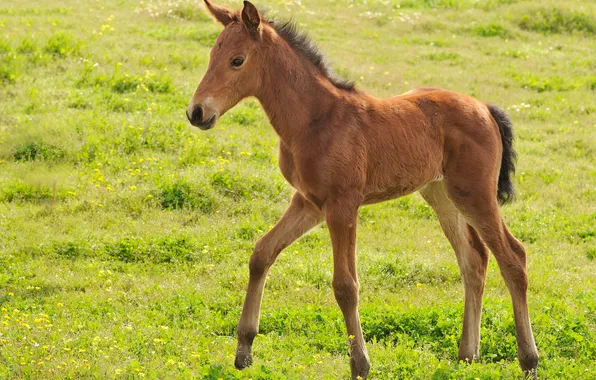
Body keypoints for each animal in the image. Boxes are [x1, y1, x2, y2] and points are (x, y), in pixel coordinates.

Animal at [185, 2, 540, 378]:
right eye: (212, 55)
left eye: (237, 60)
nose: (197, 112)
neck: (315, 120)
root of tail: (485, 108)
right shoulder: (309, 202)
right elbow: (261, 253)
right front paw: (244, 350)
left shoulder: (342, 204)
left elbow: (345, 285)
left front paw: (360, 364)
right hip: (442, 194)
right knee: (473, 260)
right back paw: (467, 354)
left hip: (475, 193)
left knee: (513, 257)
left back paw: (528, 360)